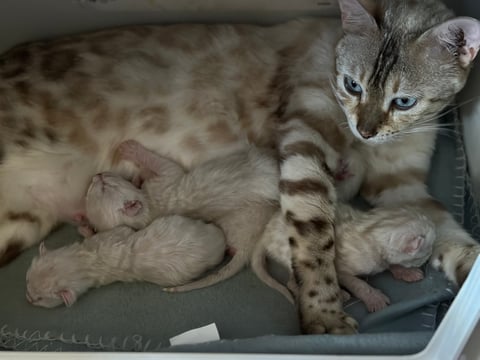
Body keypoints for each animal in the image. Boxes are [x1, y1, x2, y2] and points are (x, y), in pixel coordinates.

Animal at [26, 215, 227, 308]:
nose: (28, 299)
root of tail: (220, 242)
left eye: (39, 299)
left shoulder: (114, 233)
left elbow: (123, 228)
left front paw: (84, 227)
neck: (86, 261)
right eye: (27, 281)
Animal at [253, 205, 436, 312]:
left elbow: (391, 264)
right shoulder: (341, 268)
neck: (372, 228)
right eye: (429, 249)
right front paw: (375, 299)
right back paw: (339, 294)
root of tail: (265, 232)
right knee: (294, 282)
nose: (433, 253)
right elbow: (359, 284)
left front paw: (406, 272)